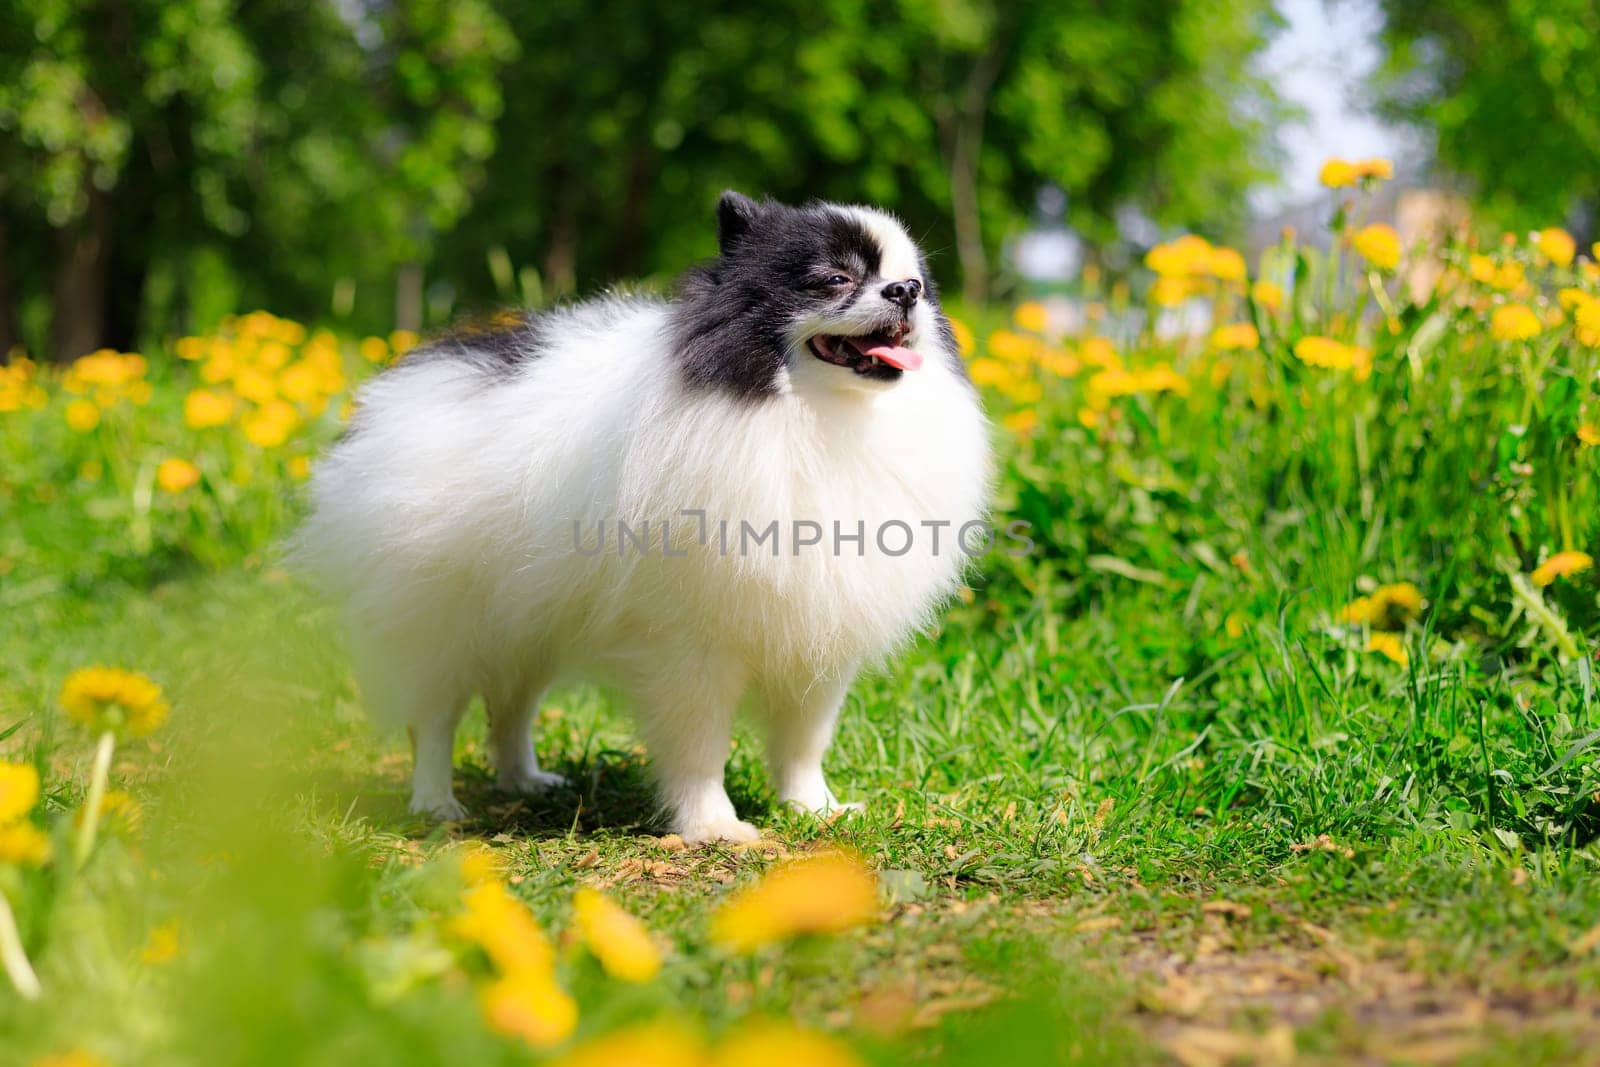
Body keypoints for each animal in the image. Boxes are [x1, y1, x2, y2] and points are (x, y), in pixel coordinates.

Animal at [297, 191, 985, 844]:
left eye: (916, 281)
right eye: (834, 279)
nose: (906, 293)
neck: (813, 417)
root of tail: (410, 382)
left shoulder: (816, 630)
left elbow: (803, 740)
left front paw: (814, 810)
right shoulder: (688, 642)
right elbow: (700, 744)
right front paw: (714, 825)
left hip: (527, 619)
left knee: (511, 705)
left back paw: (526, 780)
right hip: (445, 622)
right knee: (437, 718)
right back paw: (436, 801)